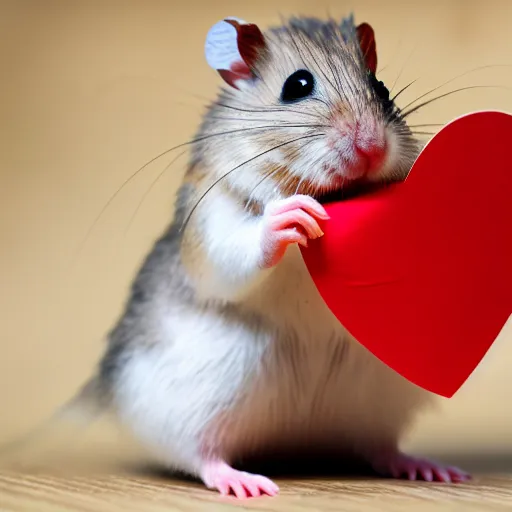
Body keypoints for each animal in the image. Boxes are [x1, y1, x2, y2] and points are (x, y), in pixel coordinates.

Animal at [18, 13, 472, 500]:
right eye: (296, 85)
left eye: (382, 88)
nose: (373, 148)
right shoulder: (213, 219)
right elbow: (236, 250)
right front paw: (289, 215)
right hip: (194, 400)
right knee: (197, 455)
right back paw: (242, 481)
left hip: (381, 395)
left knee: (379, 447)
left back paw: (428, 468)